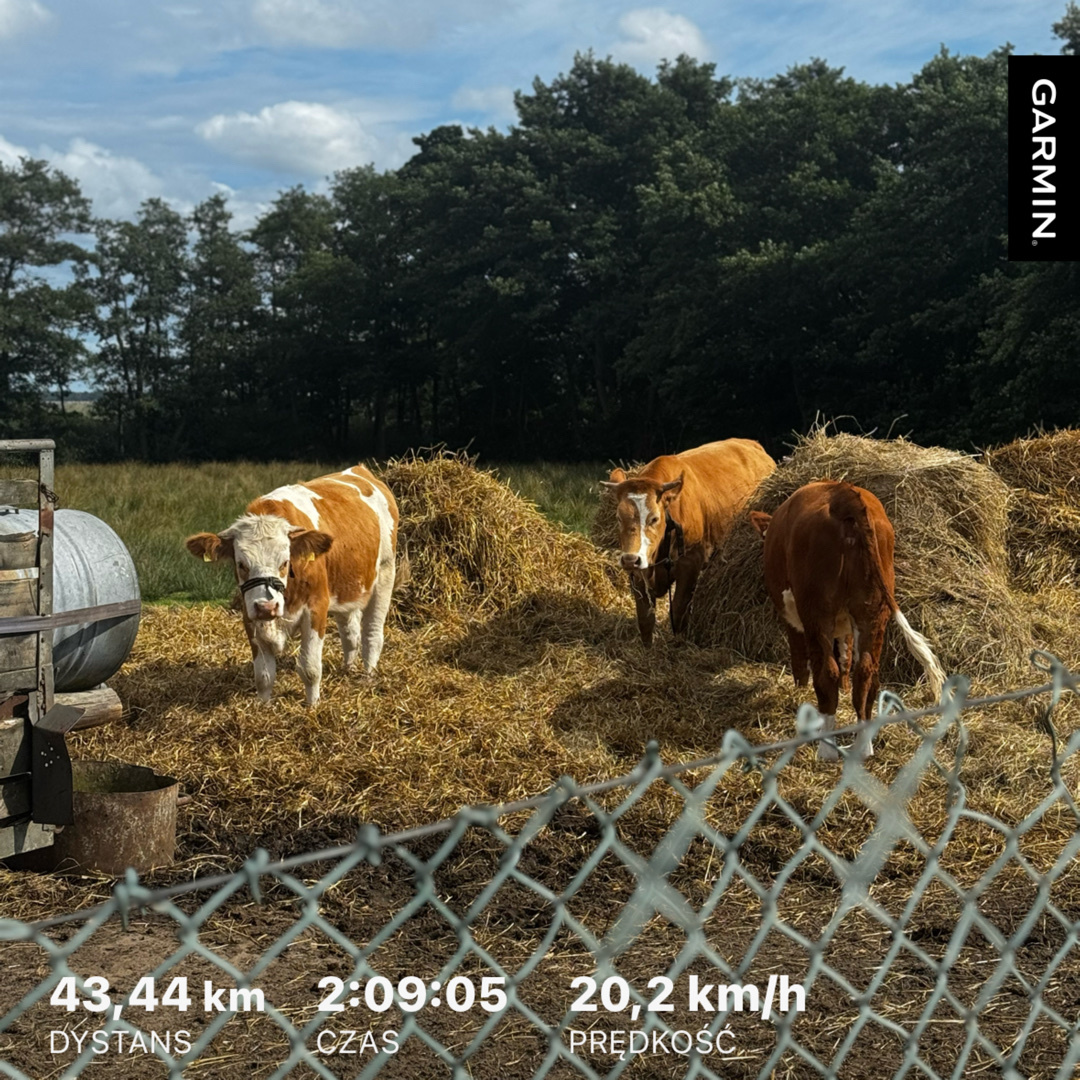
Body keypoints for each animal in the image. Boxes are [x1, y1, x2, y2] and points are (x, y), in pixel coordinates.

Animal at [185, 465, 399, 707]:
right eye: (241, 564)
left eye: (285, 562)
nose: (267, 607)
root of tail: (360, 470)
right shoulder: (249, 614)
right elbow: (263, 675)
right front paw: (264, 707)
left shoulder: (316, 608)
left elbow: (310, 668)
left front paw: (312, 706)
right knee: (350, 633)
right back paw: (348, 668)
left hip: (385, 575)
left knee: (372, 633)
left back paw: (367, 676)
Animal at [602, 439, 776, 646]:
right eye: (619, 517)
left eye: (654, 518)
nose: (630, 559)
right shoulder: (638, 572)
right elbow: (645, 617)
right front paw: (647, 648)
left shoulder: (690, 562)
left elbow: (678, 610)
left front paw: (679, 644)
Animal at [749, 480, 945, 760]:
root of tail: (845, 493)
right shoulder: (846, 626)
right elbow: (845, 656)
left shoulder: (792, 618)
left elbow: (801, 662)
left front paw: (799, 691)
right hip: (873, 611)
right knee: (866, 674)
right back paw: (863, 746)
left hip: (817, 612)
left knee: (826, 673)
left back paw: (826, 748)